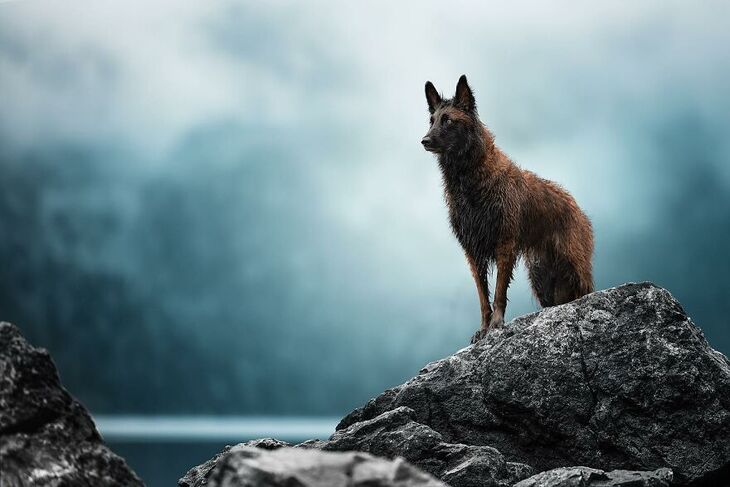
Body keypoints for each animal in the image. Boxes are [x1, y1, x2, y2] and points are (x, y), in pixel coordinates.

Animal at [420, 76, 592, 344]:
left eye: (448, 120)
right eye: (432, 120)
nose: (425, 141)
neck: (469, 179)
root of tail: (575, 205)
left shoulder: (505, 244)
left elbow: (499, 291)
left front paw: (496, 324)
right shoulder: (473, 253)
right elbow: (483, 297)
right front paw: (483, 327)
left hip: (575, 267)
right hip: (542, 279)